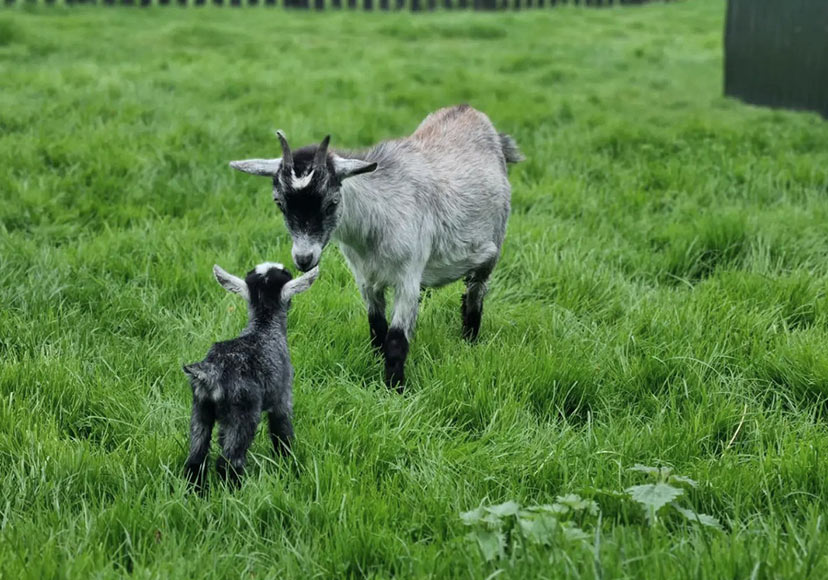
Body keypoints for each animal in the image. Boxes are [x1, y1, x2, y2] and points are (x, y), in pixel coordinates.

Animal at [182, 262, 318, 488]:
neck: (264, 326)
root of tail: (211, 372)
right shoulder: (282, 396)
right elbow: (282, 433)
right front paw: (288, 462)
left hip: (200, 409)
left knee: (196, 458)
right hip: (244, 412)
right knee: (229, 461)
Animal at [229, 104, 522, 391]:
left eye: (332, 202)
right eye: (280, 203)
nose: (303, 258)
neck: (374, 223)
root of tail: (468, 110)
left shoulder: (407, 278)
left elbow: (396, 339)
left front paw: (395, 390)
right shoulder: (366, 279)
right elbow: (376, 328)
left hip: (492, 247)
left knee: (476, 292)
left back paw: (470, 339)